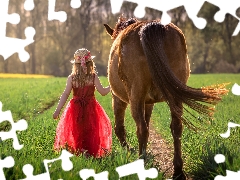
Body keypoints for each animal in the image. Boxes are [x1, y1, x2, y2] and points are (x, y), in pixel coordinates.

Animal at [104, 17, 228, 180]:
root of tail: (151, 26)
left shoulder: (118, 99)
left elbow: (119, 127)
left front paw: (128, 151)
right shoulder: (149, 103)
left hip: (136, 95)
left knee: (141, 128)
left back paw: (142, 161)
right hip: (174, 96)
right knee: (176, 127)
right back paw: (178, 171)